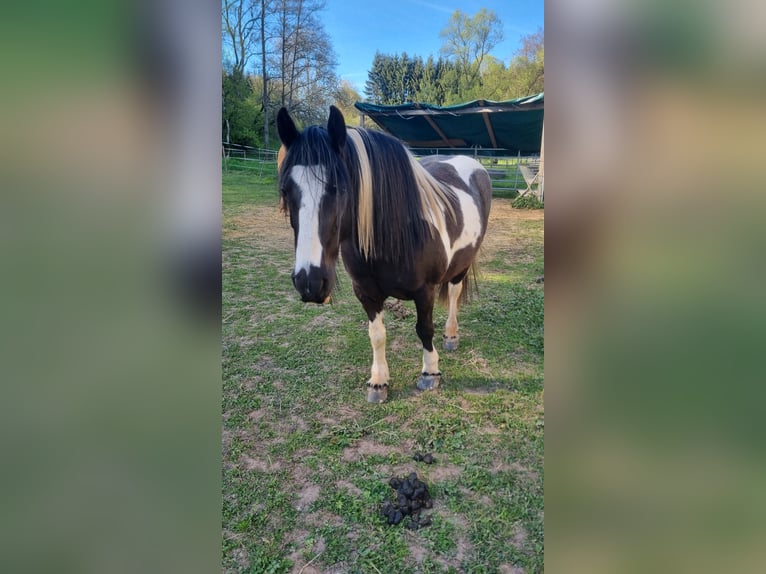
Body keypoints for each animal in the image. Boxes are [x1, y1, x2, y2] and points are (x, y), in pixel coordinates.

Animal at [276, 105, 492, 403]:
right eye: (285, 191)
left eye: (339, 188)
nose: (310, 282)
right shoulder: (366, 292)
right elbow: (376, 334)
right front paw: (378, 382)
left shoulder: (426, 290)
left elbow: (425, 329)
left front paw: (430, 373)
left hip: (461, 266)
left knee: (454, 295)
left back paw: (451, 336)